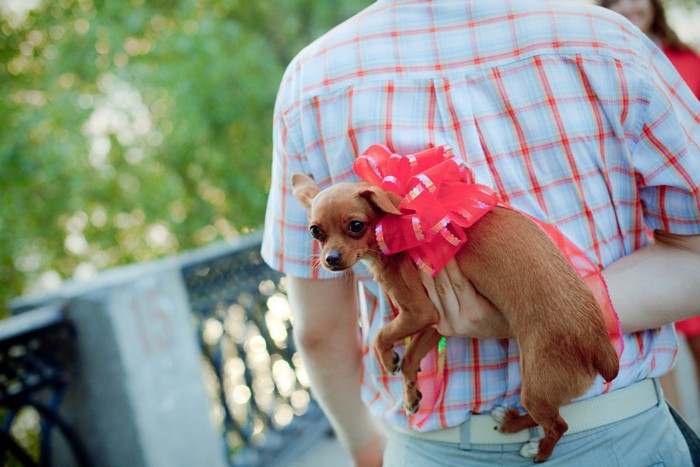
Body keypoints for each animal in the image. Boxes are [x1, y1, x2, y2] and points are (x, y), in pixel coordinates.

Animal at [292, 174, 620, 462]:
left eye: (356, 226)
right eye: (315, 232)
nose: (331, 260)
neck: (398, 223)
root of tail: (600, 346)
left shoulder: (418, 311)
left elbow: (380, 336)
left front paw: (387, 359)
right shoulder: (436, 320)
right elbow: (411, 357)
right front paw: (411, 394)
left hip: (536, 387)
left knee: (559, 425)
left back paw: (536, 450)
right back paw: (511, 421)